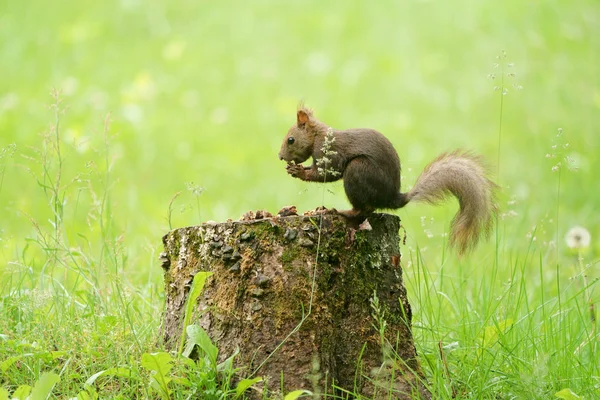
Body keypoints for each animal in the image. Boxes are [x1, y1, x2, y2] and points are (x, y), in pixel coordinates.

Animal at [278, 106, 500, 255]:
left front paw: (300, 172)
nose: (280, 157)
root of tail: (393, 198)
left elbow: (327, 173)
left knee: (363, 210)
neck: (319, 136)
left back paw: (338, 211)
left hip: (358, 171)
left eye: (291, 140)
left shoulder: (330, 153)